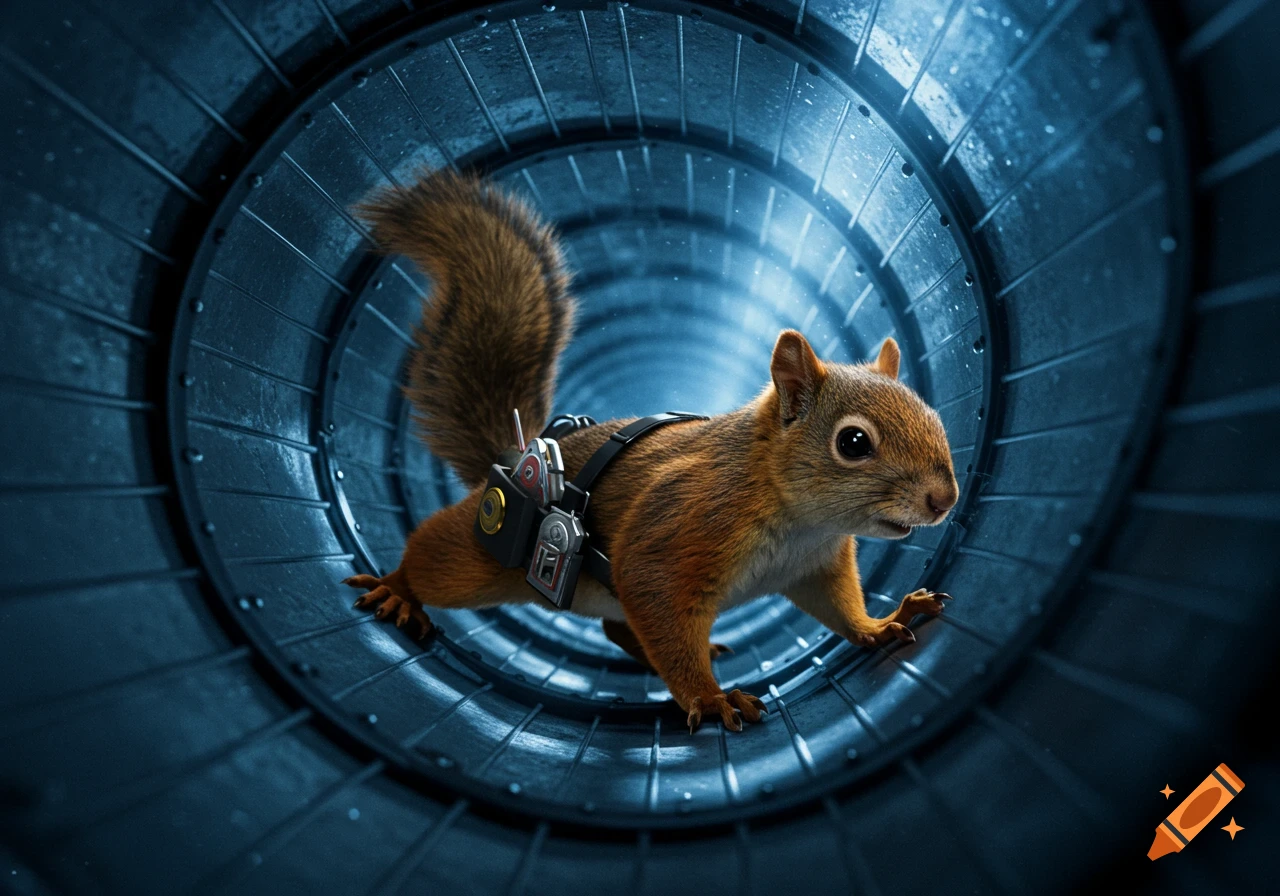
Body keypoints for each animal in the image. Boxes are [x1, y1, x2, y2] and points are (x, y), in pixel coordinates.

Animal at [343, 170, 959, 734]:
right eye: (853, 443)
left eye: (934, 417)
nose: (945, 499)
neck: (797, 517)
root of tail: (522, 455)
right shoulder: (677, 529)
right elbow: (656, 599)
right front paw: (710, 698)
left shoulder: (817, 566)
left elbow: (839, 608)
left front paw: (881, 624)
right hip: (488, 547)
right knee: (434, 558)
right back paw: (397, 589)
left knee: (618, 627)